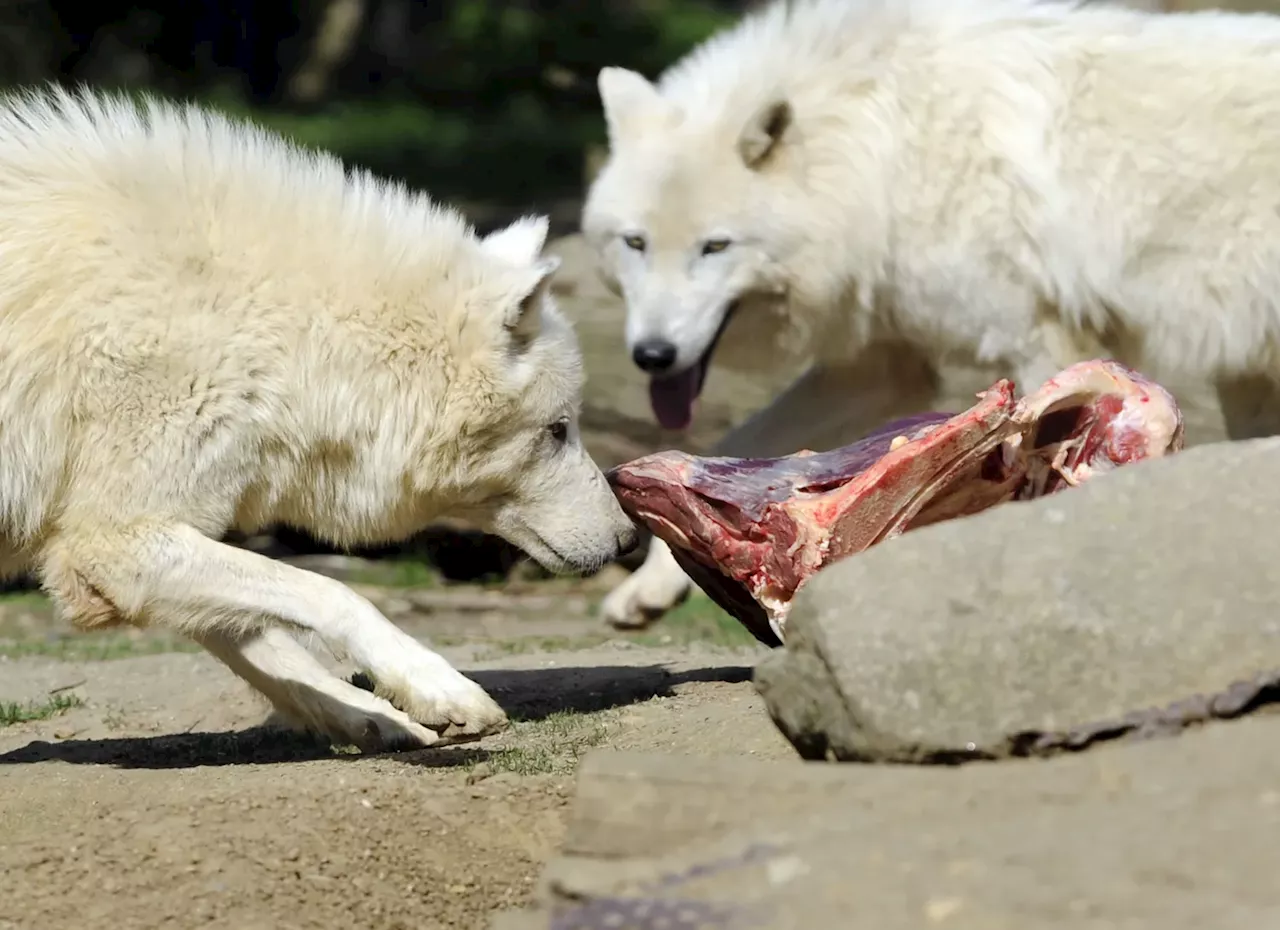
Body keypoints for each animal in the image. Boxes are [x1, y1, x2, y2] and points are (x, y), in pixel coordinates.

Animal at [0, 86, 640, 752]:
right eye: (558, 430)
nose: (629, 538)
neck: (270, 331)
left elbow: (268, 640)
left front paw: (382, 715)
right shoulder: (110, 543)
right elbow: (332, 592)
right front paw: (438, 687)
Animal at [583, 0, 1280, 631]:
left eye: (715, 247)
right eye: (635, 242)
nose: (653, 354)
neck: (882, 153)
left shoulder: (1042, 339)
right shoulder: (882, 366)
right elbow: (741, 451)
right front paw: (654, 582)